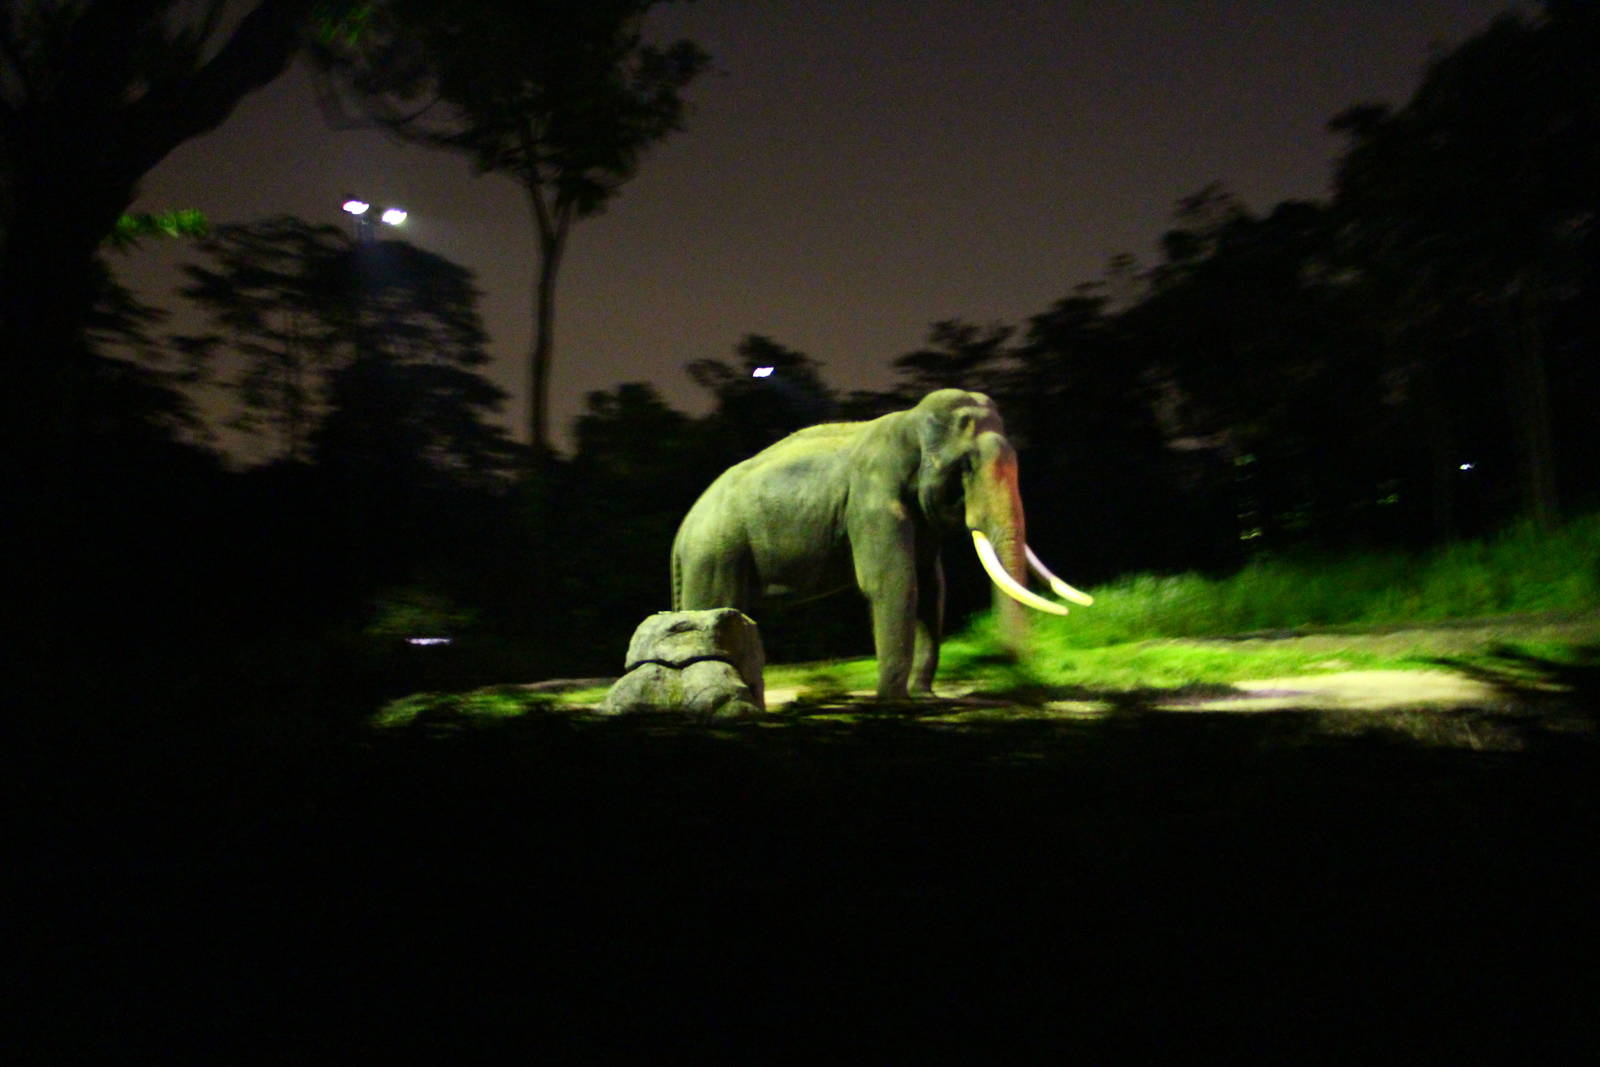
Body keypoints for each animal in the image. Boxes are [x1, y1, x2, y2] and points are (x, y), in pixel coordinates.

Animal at [671, 388, 1091, 701]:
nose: (1016, 672)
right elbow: (893, 584)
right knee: (711, 607)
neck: (909, 421)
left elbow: (932, 591)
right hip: (714, 552)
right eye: (967, 467)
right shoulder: (872, 504)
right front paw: (895, 702)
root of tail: (682, 531)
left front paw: (924, 698)